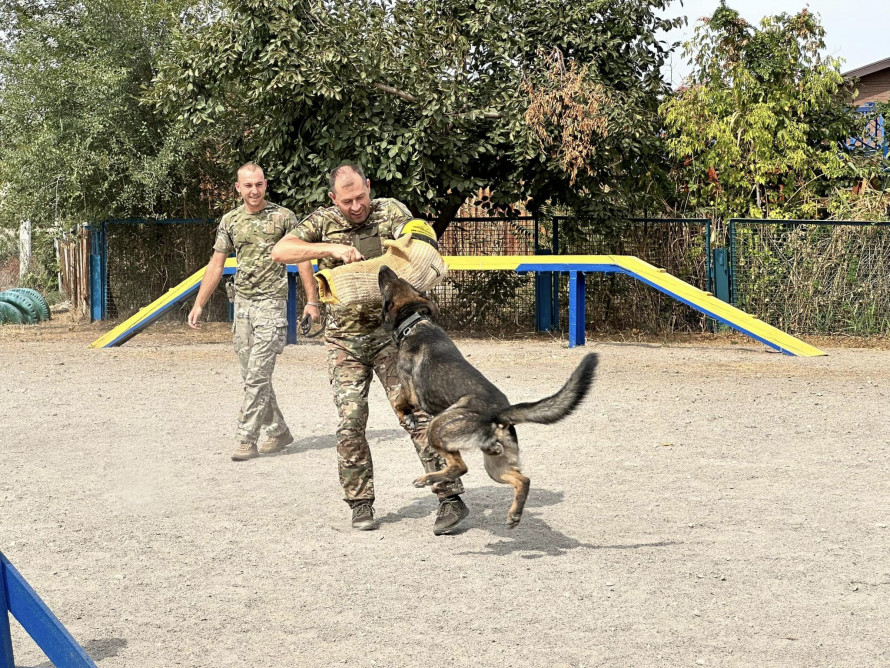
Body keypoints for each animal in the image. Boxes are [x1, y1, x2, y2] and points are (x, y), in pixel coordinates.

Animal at [376, 264, 596, 528]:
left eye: (389, 283)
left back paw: (427, 478)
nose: (383, 266)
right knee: (523, 479)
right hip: (495, 468)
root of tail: (500, 412)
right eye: (400, 278)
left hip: (438, 427)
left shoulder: (410, 389)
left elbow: (399, 399)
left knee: (460, 467)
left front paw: (405, 415)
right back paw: (514, 514)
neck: (413, 322)